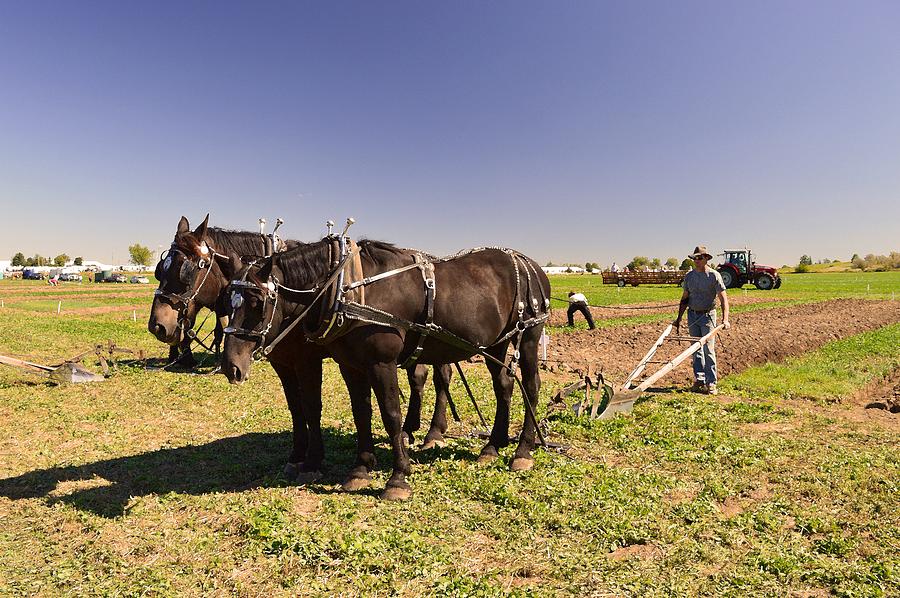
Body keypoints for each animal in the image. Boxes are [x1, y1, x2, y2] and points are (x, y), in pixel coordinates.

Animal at [150, 218, 454, 480]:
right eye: (160, 269)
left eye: (185, 270)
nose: (157, 325)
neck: (302, 295)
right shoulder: (282, 361)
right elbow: (295, 407)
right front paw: (297, 455)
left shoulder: (307, 359)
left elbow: (311, 406)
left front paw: (313, 461)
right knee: (419, 377)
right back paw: (409, 429)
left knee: (441, 376)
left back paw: (433, 432)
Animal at [221, 239, 552, 502]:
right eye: (228, 298)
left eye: (257, 301)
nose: (230, 366)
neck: (345, 290)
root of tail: (531, 264)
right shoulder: (349, 365)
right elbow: (361, 413)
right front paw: (360, 469)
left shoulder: (379, 363)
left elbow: (390, 414)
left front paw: (397, 478)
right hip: (496, 343)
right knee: (504, 386)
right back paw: (493, 446)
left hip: (529, 335)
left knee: (531, 386)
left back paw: (523, 451)